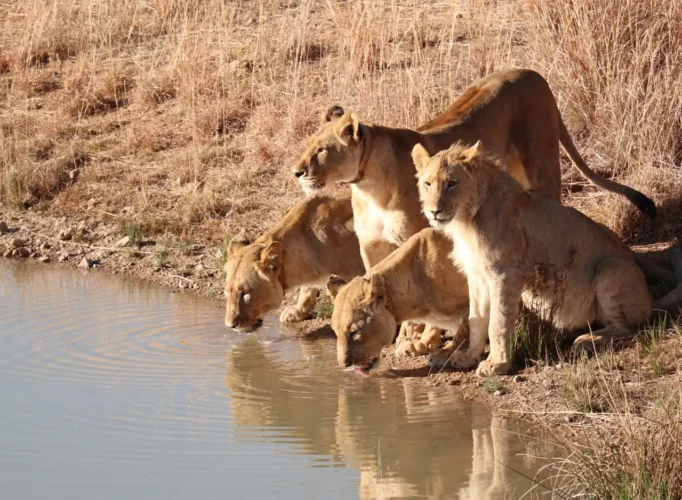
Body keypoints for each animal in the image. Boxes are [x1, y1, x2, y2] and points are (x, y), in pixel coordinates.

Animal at [326, 228, 470, 373]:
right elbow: (433, 326)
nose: (344, 364)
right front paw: (423, 343)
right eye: (335, 331)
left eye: (354, 332)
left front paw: (448, 353)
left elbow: (464, 331)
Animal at [413, 141, 682, 376]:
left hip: (611, 267)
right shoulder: (478, 275)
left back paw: (587, 340)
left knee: (626, 327)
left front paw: (497, 364)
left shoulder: (506, 275)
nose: (434, 211)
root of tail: (650, 299)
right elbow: (477, 319)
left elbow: (497, 323)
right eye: (427, 183)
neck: (466, 219)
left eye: (452, 183)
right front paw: (469, 357)